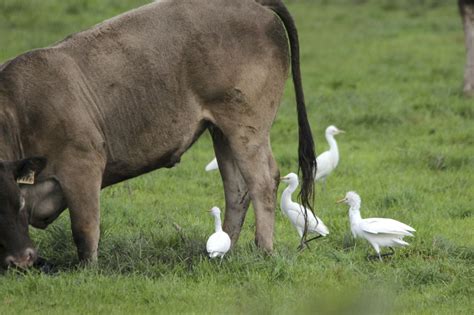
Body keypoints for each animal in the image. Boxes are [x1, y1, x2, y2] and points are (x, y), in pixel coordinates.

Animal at [1, 0, 316, 270]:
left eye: (19, 204)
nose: (21, 260)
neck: (18, 111)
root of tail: (253, 3)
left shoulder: (82, 164)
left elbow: (84, 229)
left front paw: (86, 270)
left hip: (246, 127)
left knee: (262, 181)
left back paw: (264, 250)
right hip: (222, 131)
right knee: (237, 189)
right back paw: (224, 250)